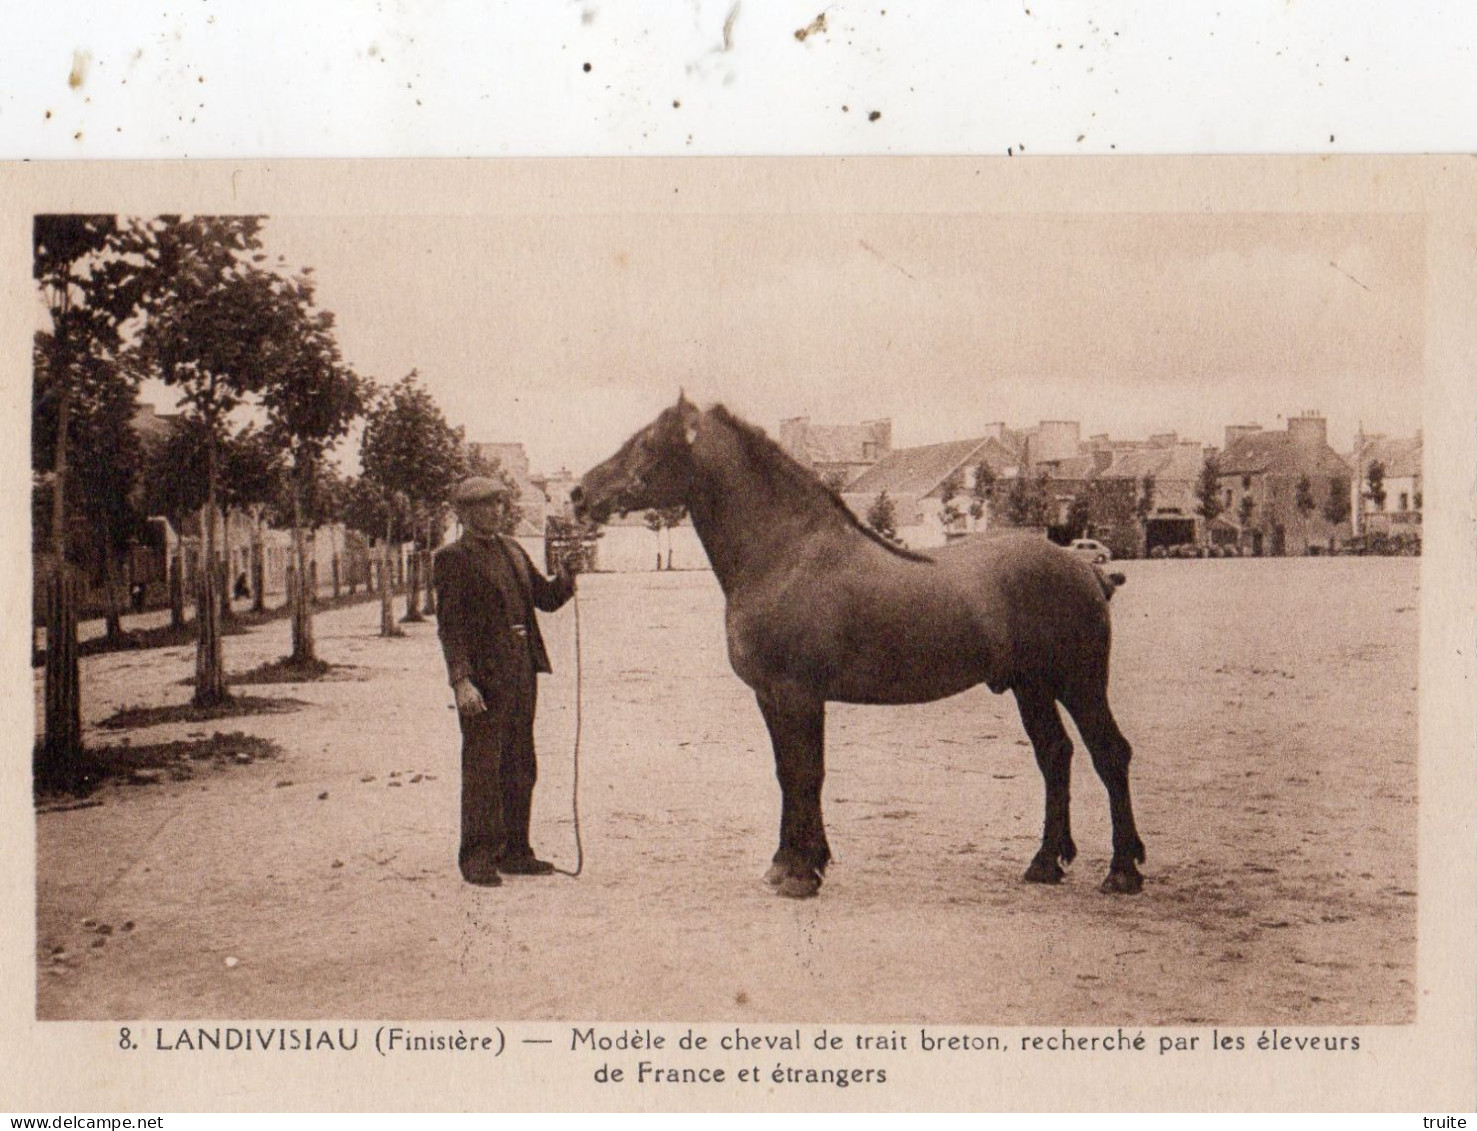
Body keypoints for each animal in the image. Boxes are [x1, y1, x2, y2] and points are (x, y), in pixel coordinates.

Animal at [570, 395, 1146, 897]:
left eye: (647, 443)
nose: (578, 494)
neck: (785, 555)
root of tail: (1087, 569)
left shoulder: (798, 695)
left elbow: (807, 773)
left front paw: (801, 874)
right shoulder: (770, 697)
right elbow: (787, 773)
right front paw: (789, 864)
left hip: (1079, 683)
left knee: (1109, 753)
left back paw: (1122, 871)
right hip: (1032, 688)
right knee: (1055, 755)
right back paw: (1045, 863)